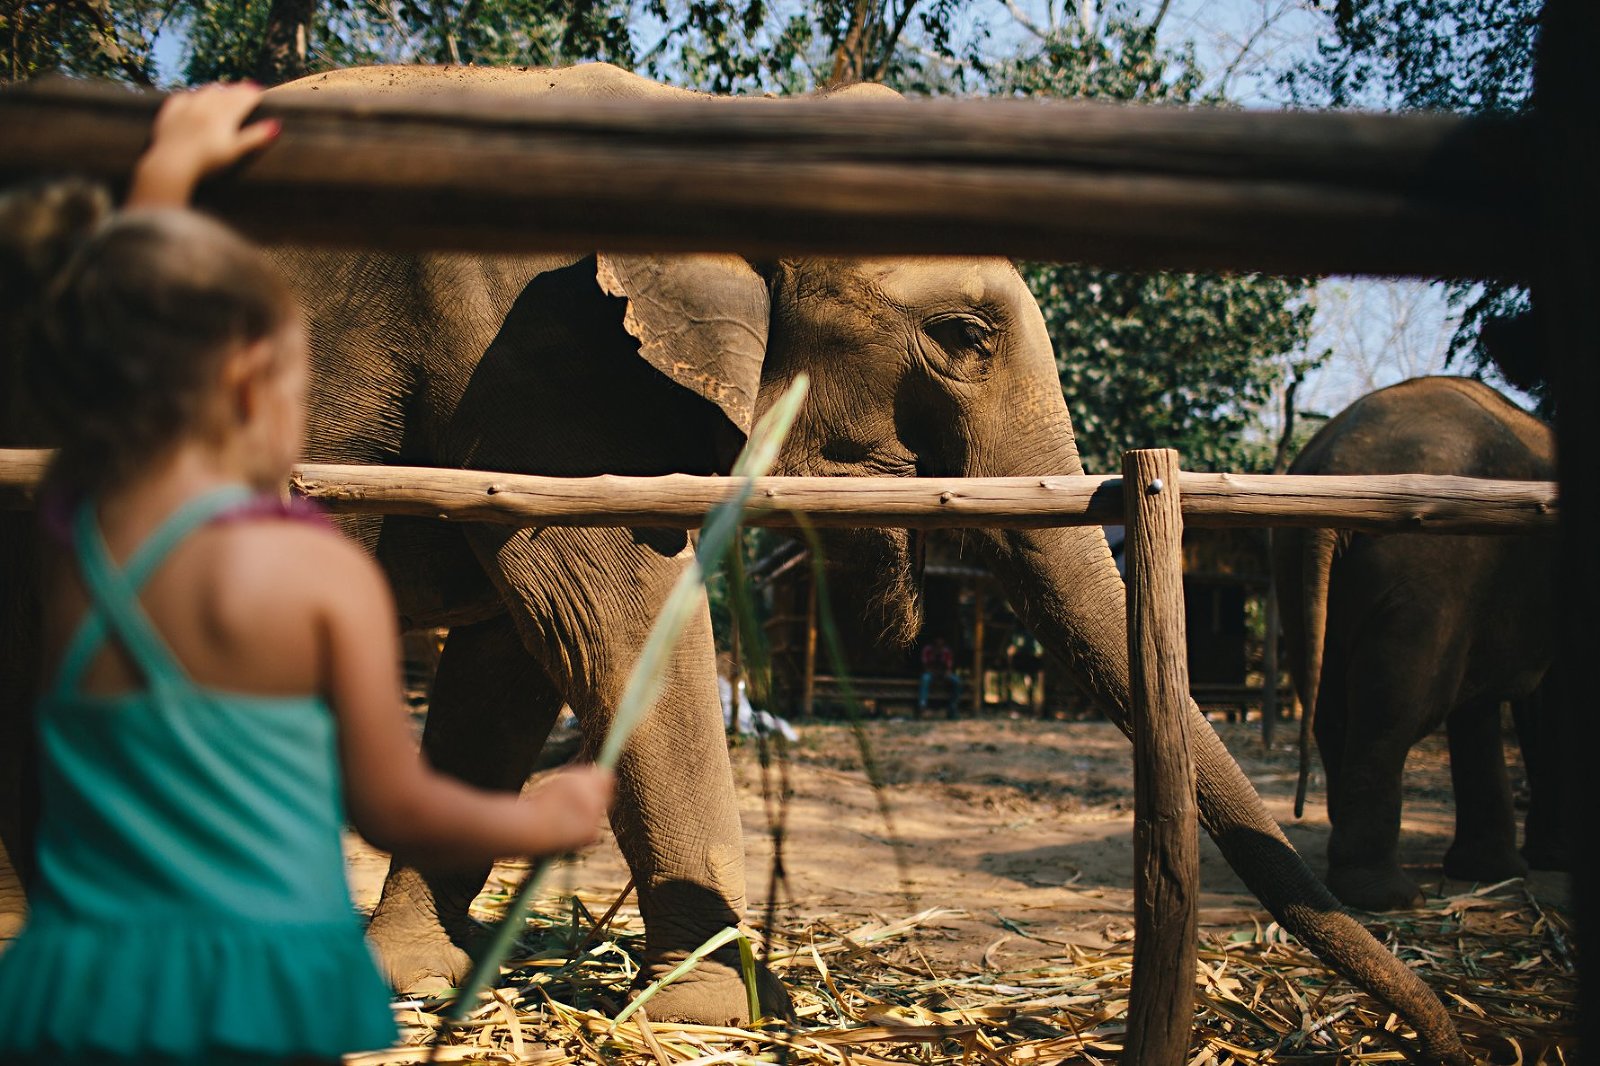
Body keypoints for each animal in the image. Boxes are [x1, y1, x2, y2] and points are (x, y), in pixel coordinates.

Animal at [0, 64, 1465, 1056]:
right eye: (958, 336)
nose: (1468, 1033)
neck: (713, 128)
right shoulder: (534, 358)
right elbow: (607, 608)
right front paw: (720, 1002)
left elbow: (508, 663)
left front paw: (420, 971)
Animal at [1273, 377, 1561, 909]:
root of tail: (1336, 465)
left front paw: (1495, 870)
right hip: (1425, 568)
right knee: (1393, 709)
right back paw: (1388, 897)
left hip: (1293, 564)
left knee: (1331, 704)